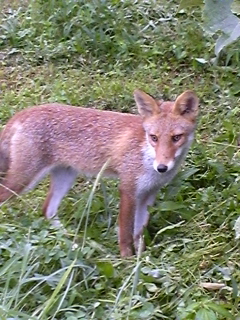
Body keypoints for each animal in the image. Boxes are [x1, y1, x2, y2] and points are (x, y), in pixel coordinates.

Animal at [0, 89, 199, 258]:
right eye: (154, 138)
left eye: (176, 138)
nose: (162, 167)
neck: (145, 155)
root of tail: (24, 112)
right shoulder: (128, 190)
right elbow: (125, 233)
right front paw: (127, 262)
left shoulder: (148, 194)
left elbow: (139, 233)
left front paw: (142, 260)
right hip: (23, 180)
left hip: (65, 177)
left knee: (47, 210)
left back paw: (72, 244)